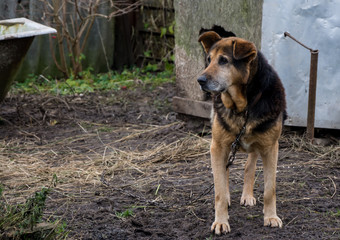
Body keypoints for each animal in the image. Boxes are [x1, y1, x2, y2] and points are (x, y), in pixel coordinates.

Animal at [198, 31, 286, 234]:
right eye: (209, 60)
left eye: (223, 60)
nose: (200, 80)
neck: (243, 107)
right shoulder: (217, 147)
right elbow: (219, 191)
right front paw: (221, 220)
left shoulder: (271, 148)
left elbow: (270, 190)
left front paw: (271, 217)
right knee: (225, 172)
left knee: (249, 166)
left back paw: (247, 195)